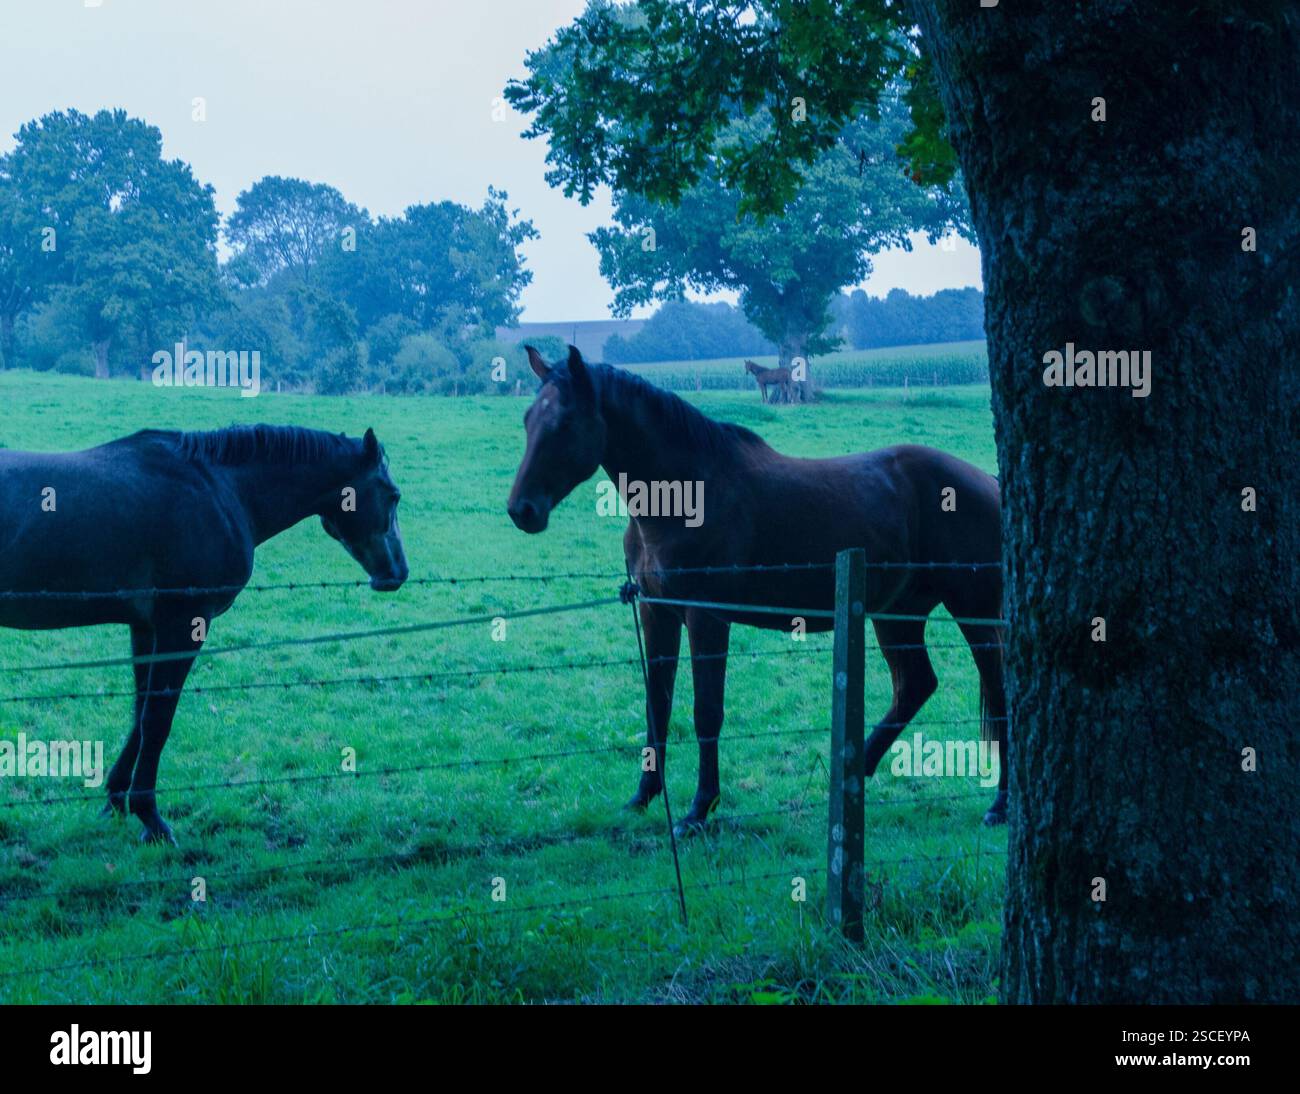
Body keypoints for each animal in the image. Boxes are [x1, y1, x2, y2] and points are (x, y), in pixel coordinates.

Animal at [0, 424, 408, 843]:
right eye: (393, 495)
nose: (397, 572)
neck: (222, 489)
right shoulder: (183, 625)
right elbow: (157, 720)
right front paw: (151, 817)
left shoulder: (146, 627)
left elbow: (140, 712)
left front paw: (116, 799)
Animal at [508, 346, 1006, 833]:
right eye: (528, 419)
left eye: (565, 422)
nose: (521, 510)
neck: (685, 495)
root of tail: (990, 481)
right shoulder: (657, 612)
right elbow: (657, 705)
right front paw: (642, 797)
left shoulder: (706, 617)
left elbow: (707, 711)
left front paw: (698, 810)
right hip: (897, 613)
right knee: (915, 685)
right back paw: (851, 773)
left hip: (973, 611)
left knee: (998, 689)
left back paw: (999, 805)